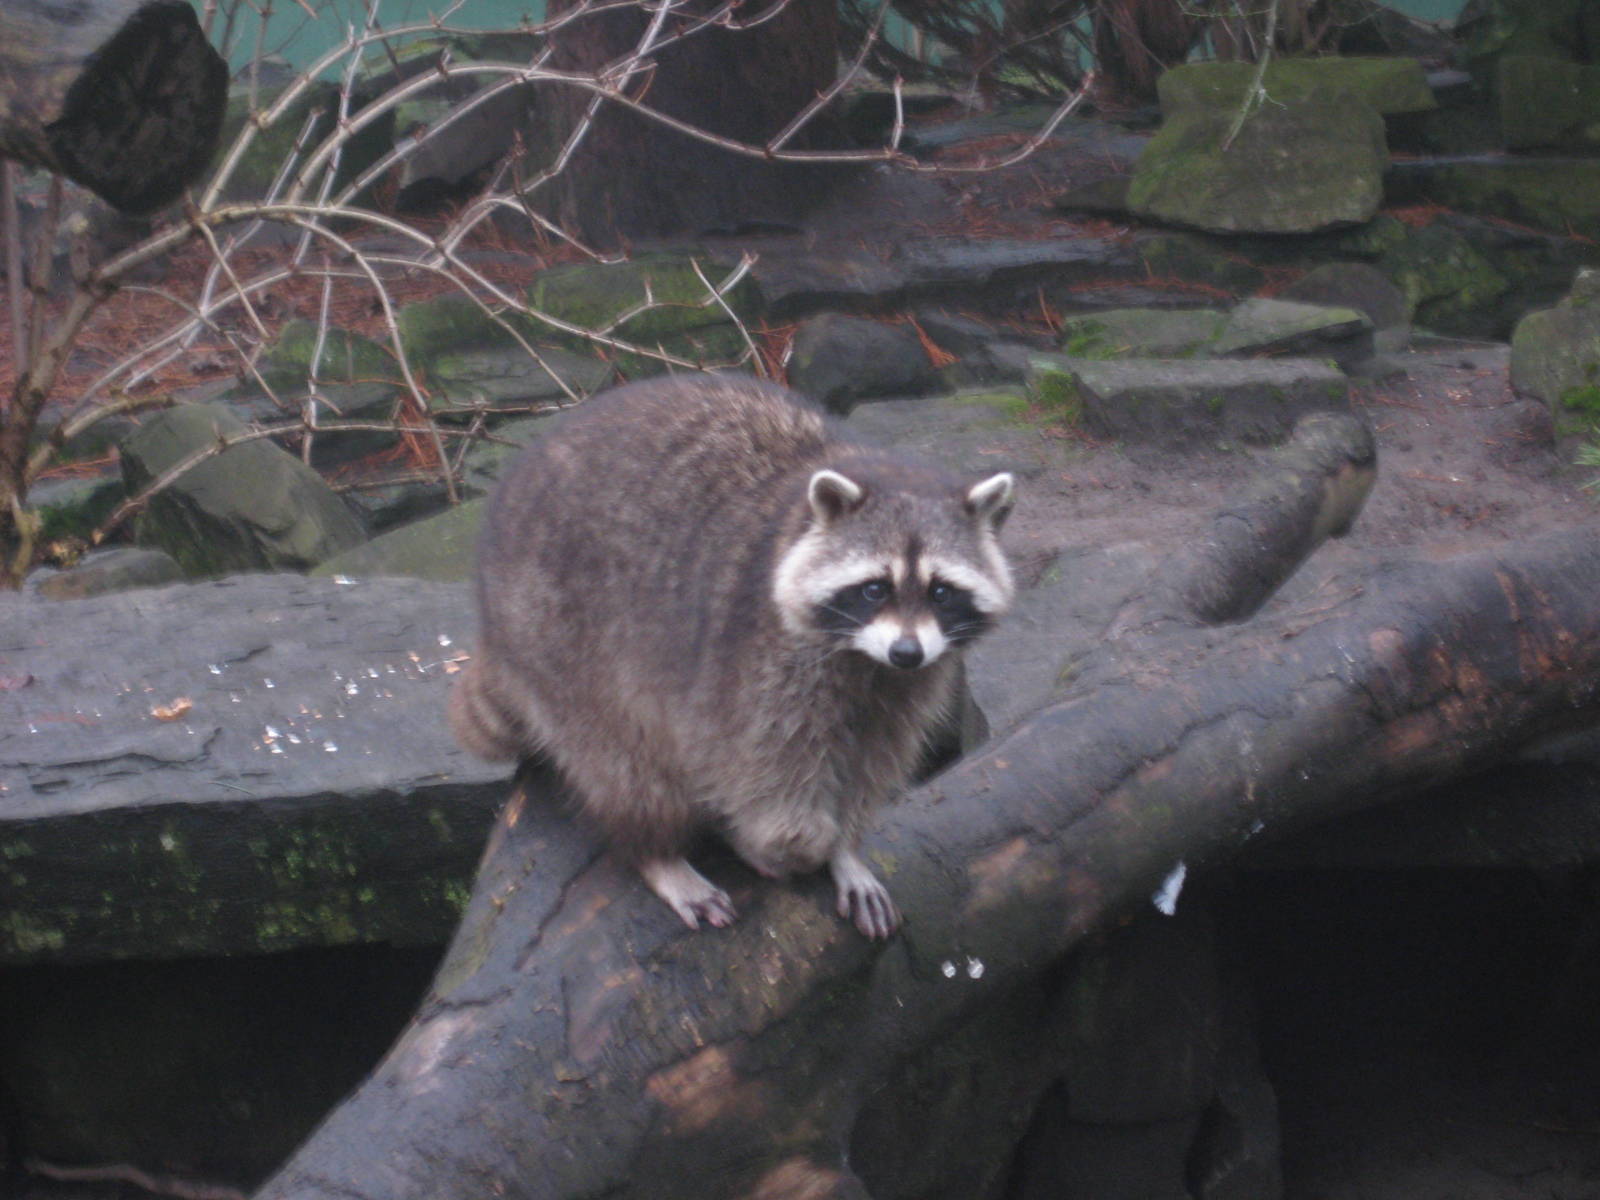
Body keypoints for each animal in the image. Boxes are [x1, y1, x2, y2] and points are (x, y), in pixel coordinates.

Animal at [449, 373, 1015, 937]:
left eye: (941, 592)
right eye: (875, 589)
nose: (905, 651)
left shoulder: (908, 685)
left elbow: (871, 760)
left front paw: (844, 848)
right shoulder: (757, 660)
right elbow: (762, 770)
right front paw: (788, 842)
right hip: (555, 630)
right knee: (623, 761)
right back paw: (656, 851)